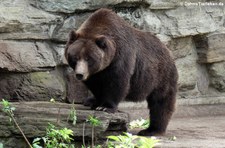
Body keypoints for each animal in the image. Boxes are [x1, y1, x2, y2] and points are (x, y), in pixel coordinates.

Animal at [64, 7, 178, 136]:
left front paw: (105, 107)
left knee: (160, 101)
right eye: (75, 57)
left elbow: (117, 82)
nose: (80, 74)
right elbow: (96, 86)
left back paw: (151, 130)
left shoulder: (121, 57)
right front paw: (96, 102)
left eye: (89, 58)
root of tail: (168, 51)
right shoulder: (96, 73)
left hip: (161, 76)